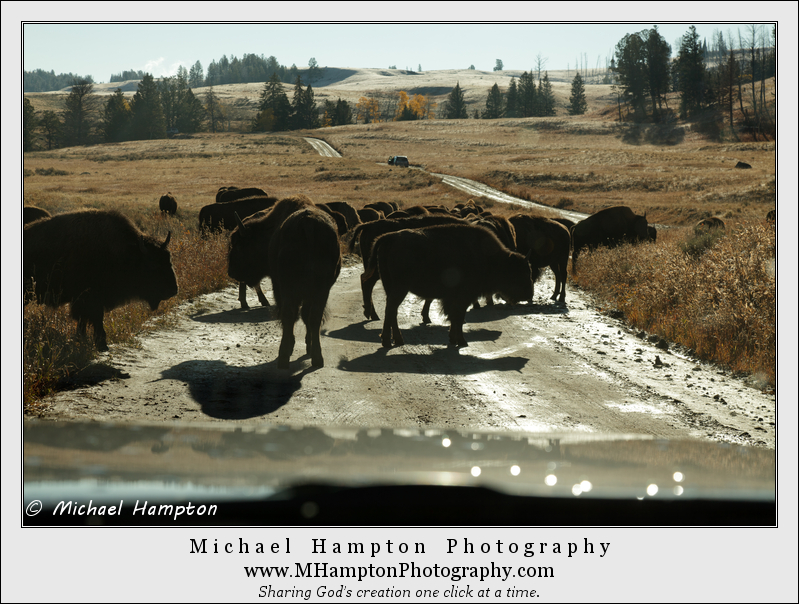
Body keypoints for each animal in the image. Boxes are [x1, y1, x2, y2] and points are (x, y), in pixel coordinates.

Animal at [24, 208, 179, 352]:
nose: (173, 290)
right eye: (153, 265)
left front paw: (84, 340)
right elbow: (95, 319)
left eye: (169, 260)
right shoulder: (89, 299)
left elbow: (86, 320)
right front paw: (101, 345)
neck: (127, 253)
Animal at [368, 223, 532, 346]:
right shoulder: (463, 297)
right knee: (391, 309)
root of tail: (389, 238)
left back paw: (396, 340)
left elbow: (455, 318)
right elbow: (458, 317)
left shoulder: (455, 299)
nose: (529, 294)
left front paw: (454, 340)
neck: (492, 259)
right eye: (519, 272)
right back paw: (388, 341)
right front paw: (462, 341)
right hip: (400, 288)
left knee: (392, 311)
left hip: (391, 287)